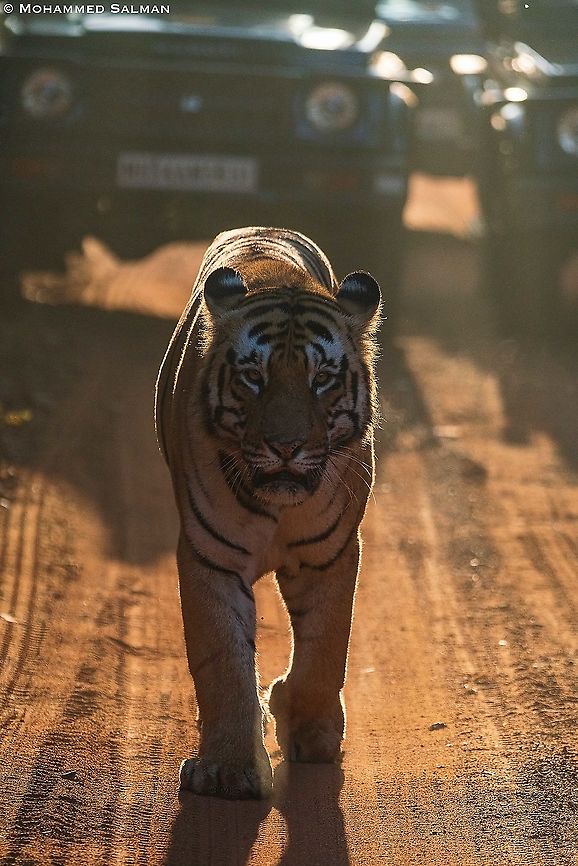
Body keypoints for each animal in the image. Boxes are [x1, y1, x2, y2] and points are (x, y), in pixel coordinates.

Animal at [155, 226, 381, 800]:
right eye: (253, 377)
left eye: (321, 378)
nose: (286, 446)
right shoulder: (210, 557)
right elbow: (223, 662)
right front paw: (229, 770)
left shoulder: (330, 554)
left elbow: (326, 648)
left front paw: (311, 731)